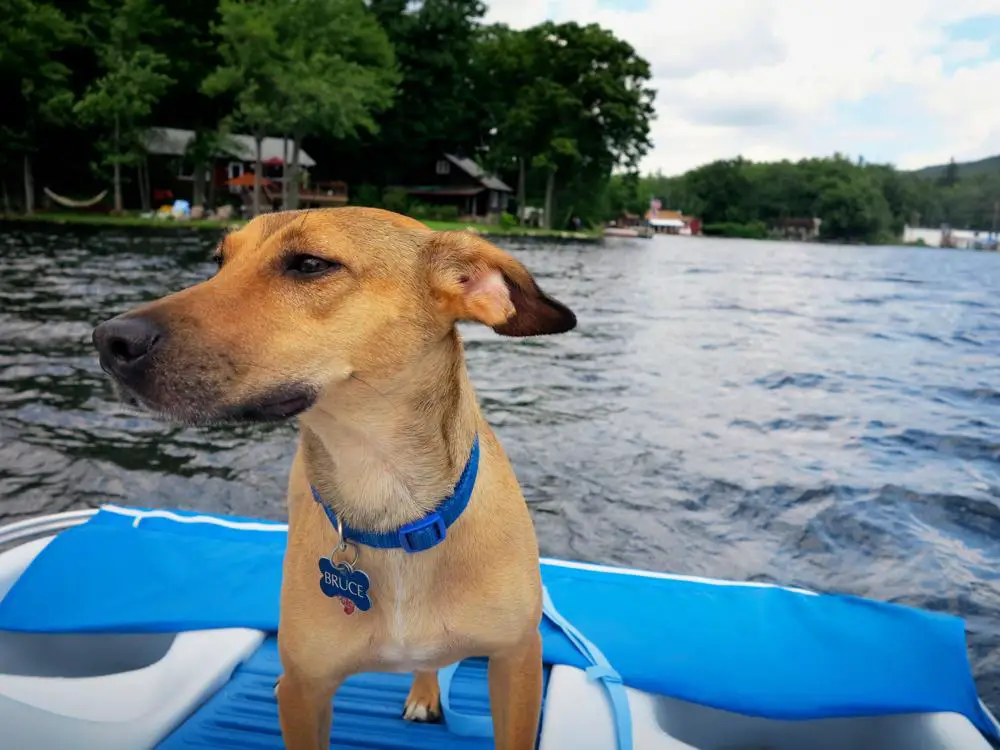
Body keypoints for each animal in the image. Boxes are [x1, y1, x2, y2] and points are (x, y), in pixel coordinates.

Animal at [95, 207, 580, 750]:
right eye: (220, 260)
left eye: (310, 264)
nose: (110, 341)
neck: (389, 502)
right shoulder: (302, 690)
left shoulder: (516, 662)